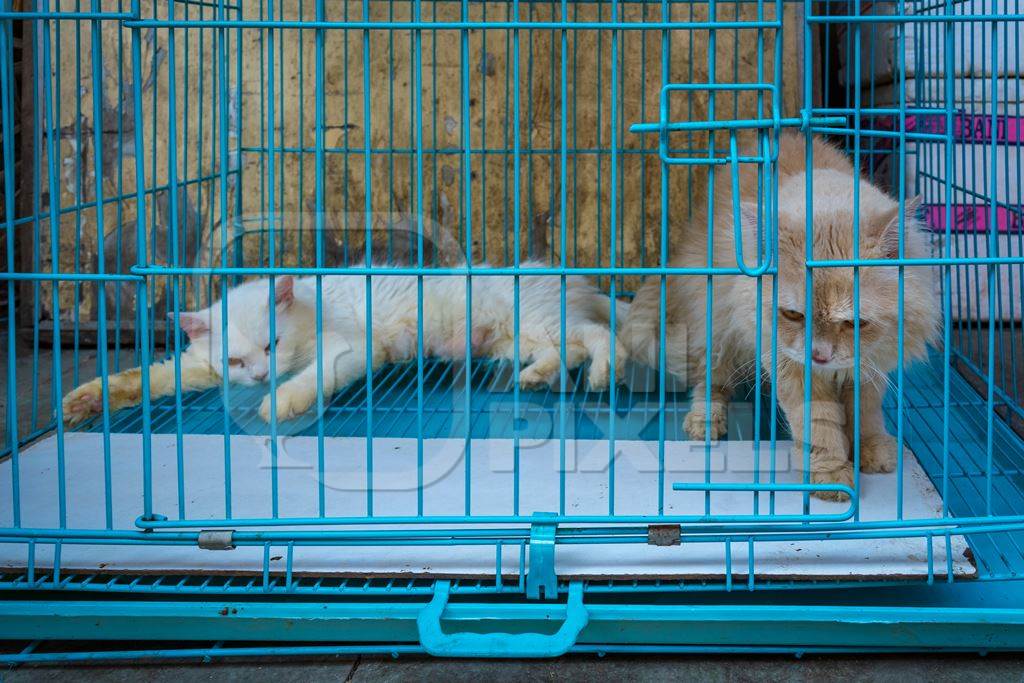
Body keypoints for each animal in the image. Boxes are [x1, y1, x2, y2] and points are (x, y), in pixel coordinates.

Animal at [64, 264, 626, 423]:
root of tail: (576, 281)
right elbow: (148, 376)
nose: (261, 375)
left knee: (600, 337)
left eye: (273, 345)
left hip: (538, 320)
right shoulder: (199, 365)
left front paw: (281, 401)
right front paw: (84, 400)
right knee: (568, 350)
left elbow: (313, 377)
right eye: (236, 359)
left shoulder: (350, 349)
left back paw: (605, 375)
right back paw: (535, 378)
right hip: (517, 338)